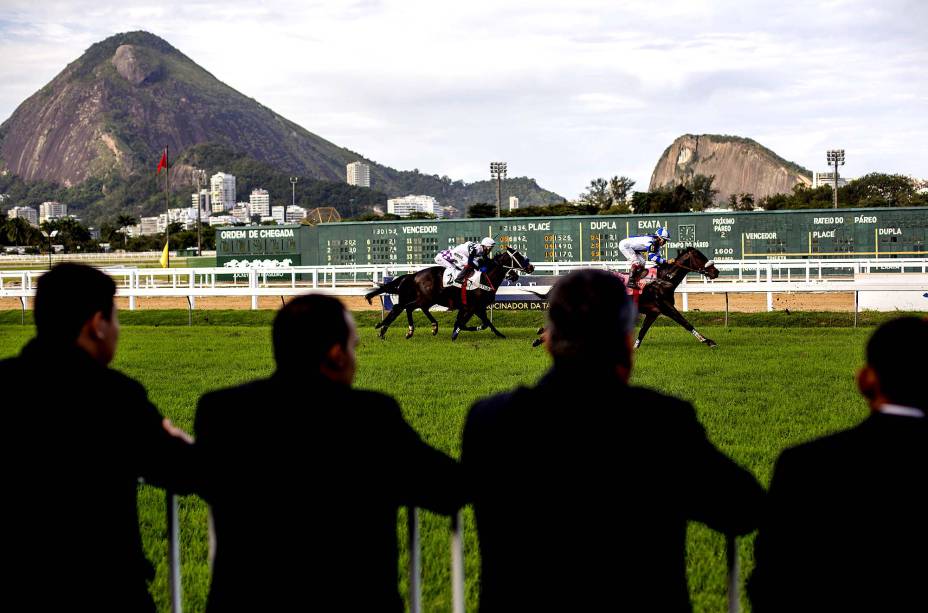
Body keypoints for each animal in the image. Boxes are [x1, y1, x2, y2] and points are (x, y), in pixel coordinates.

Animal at [364, 247, 532, 340]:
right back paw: (394, 329)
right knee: (403, 307)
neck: (485, 278)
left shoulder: (476, 307)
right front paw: (456, 332)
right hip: (426, 298)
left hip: (426, 299)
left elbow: (486, 323)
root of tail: (414, 275)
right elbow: (469, 323)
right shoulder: (473, 307)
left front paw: (500, 335)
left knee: (405, 308)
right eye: (518, 256)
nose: (531, 267)